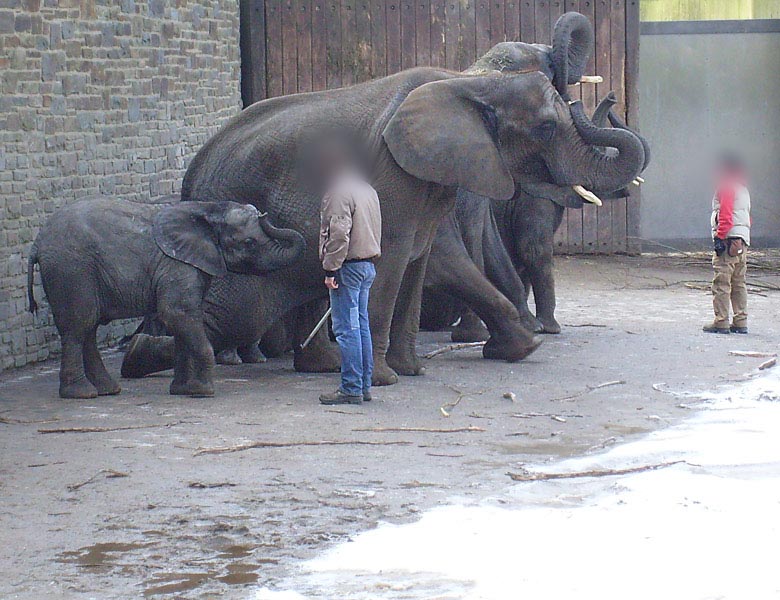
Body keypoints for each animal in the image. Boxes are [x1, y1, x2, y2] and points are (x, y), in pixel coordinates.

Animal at [25, 197, 304, 400]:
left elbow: (183, 319)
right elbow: (177, 313)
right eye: (249, 242)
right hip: (72, 270)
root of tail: (37, 243)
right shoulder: (177, 265)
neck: (207, 210)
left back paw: (107, 390)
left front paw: (182, 391)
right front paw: (203, 392)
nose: (263, 214)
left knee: (88, 328)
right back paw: (81, 394)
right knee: (79, 326)